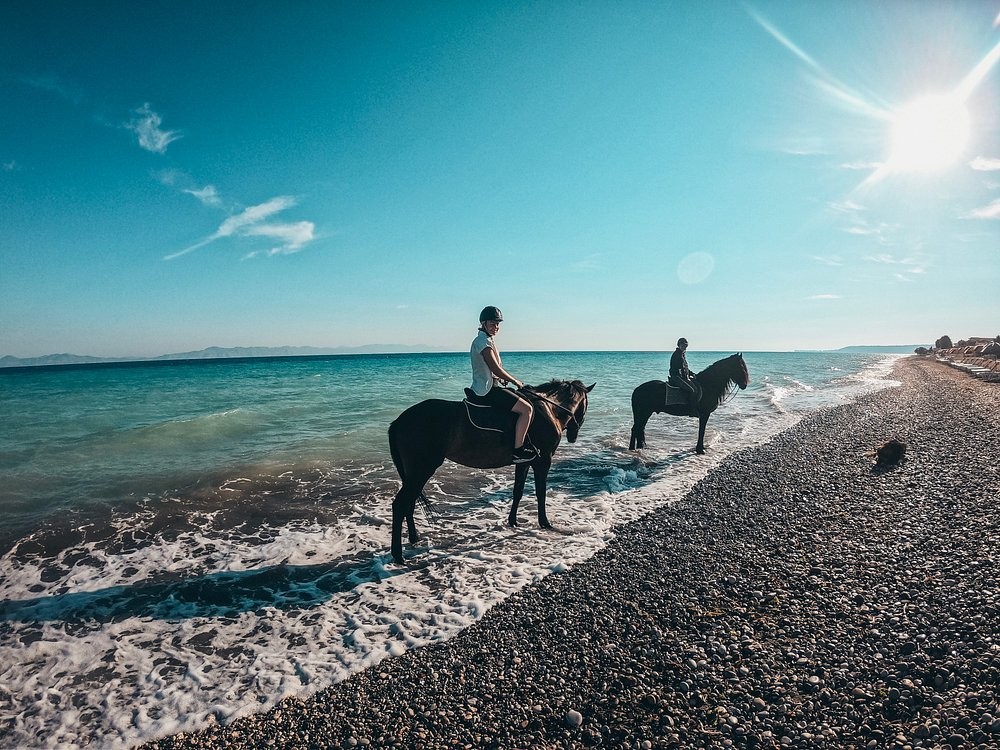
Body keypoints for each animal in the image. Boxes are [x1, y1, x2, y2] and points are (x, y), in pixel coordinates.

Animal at [387, 380, 595, 565]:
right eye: (585, 405)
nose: (573, 435)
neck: (549, 409)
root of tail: (399, 420)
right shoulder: (543, 461)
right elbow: (541, 492)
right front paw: (544, 523)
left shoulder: (524, 462)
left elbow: (518, 491)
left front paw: (513, 521)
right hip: (421, 470)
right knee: (400, 505)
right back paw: (398, 555)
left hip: (413, 473)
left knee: (409, 503)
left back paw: (414, 539)